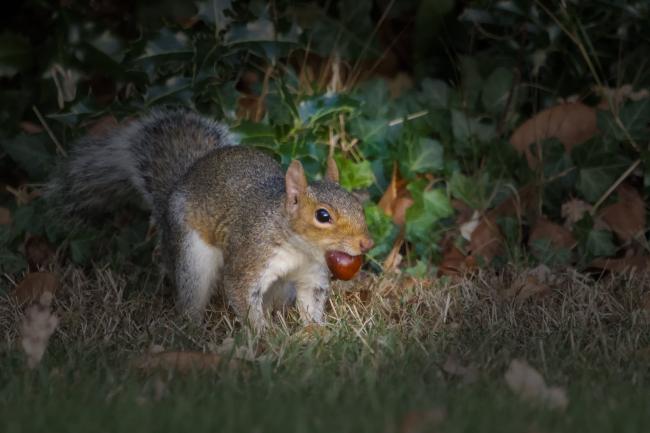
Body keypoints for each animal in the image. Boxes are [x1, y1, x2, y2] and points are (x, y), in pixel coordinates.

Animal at [46, 109, 373, 330]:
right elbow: (241, 294)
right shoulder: (250, 258)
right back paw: (193, 328)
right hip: (192, 255)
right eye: (323, 215)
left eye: (358, 205)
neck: (297, 247)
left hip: (280, 288)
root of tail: (180, 183)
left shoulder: (311, 275)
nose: (366, 243)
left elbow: (311, 304)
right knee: (192, 292)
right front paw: (266, 337)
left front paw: (316, 333)